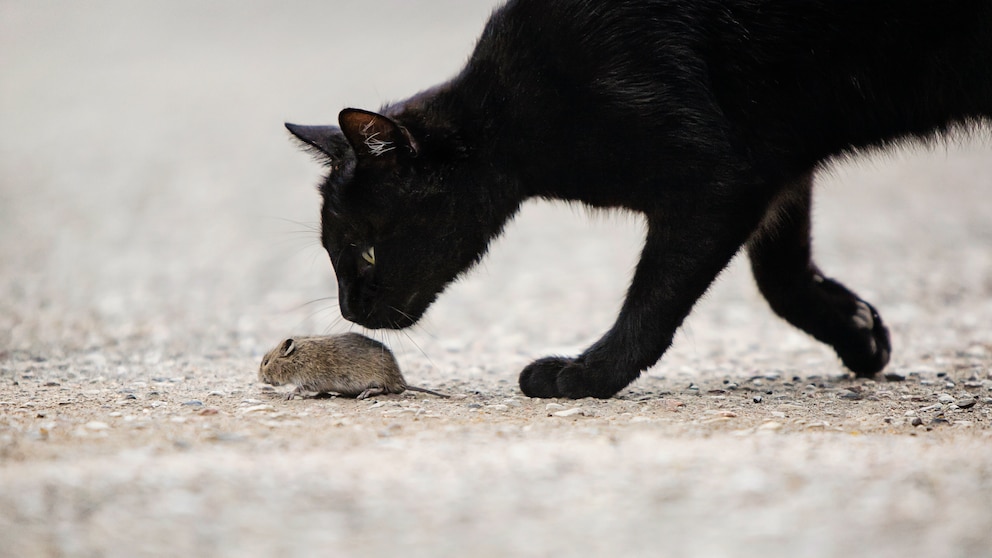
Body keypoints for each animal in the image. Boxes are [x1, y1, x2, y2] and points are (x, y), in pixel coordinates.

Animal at [282, 2, 988, 400]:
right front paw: (859, 332)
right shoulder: (778, 161)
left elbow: (652, 300)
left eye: (365, 250)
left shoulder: (719, 179)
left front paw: (585, 377)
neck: (510, 115)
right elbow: (781, 276)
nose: (347, 309)